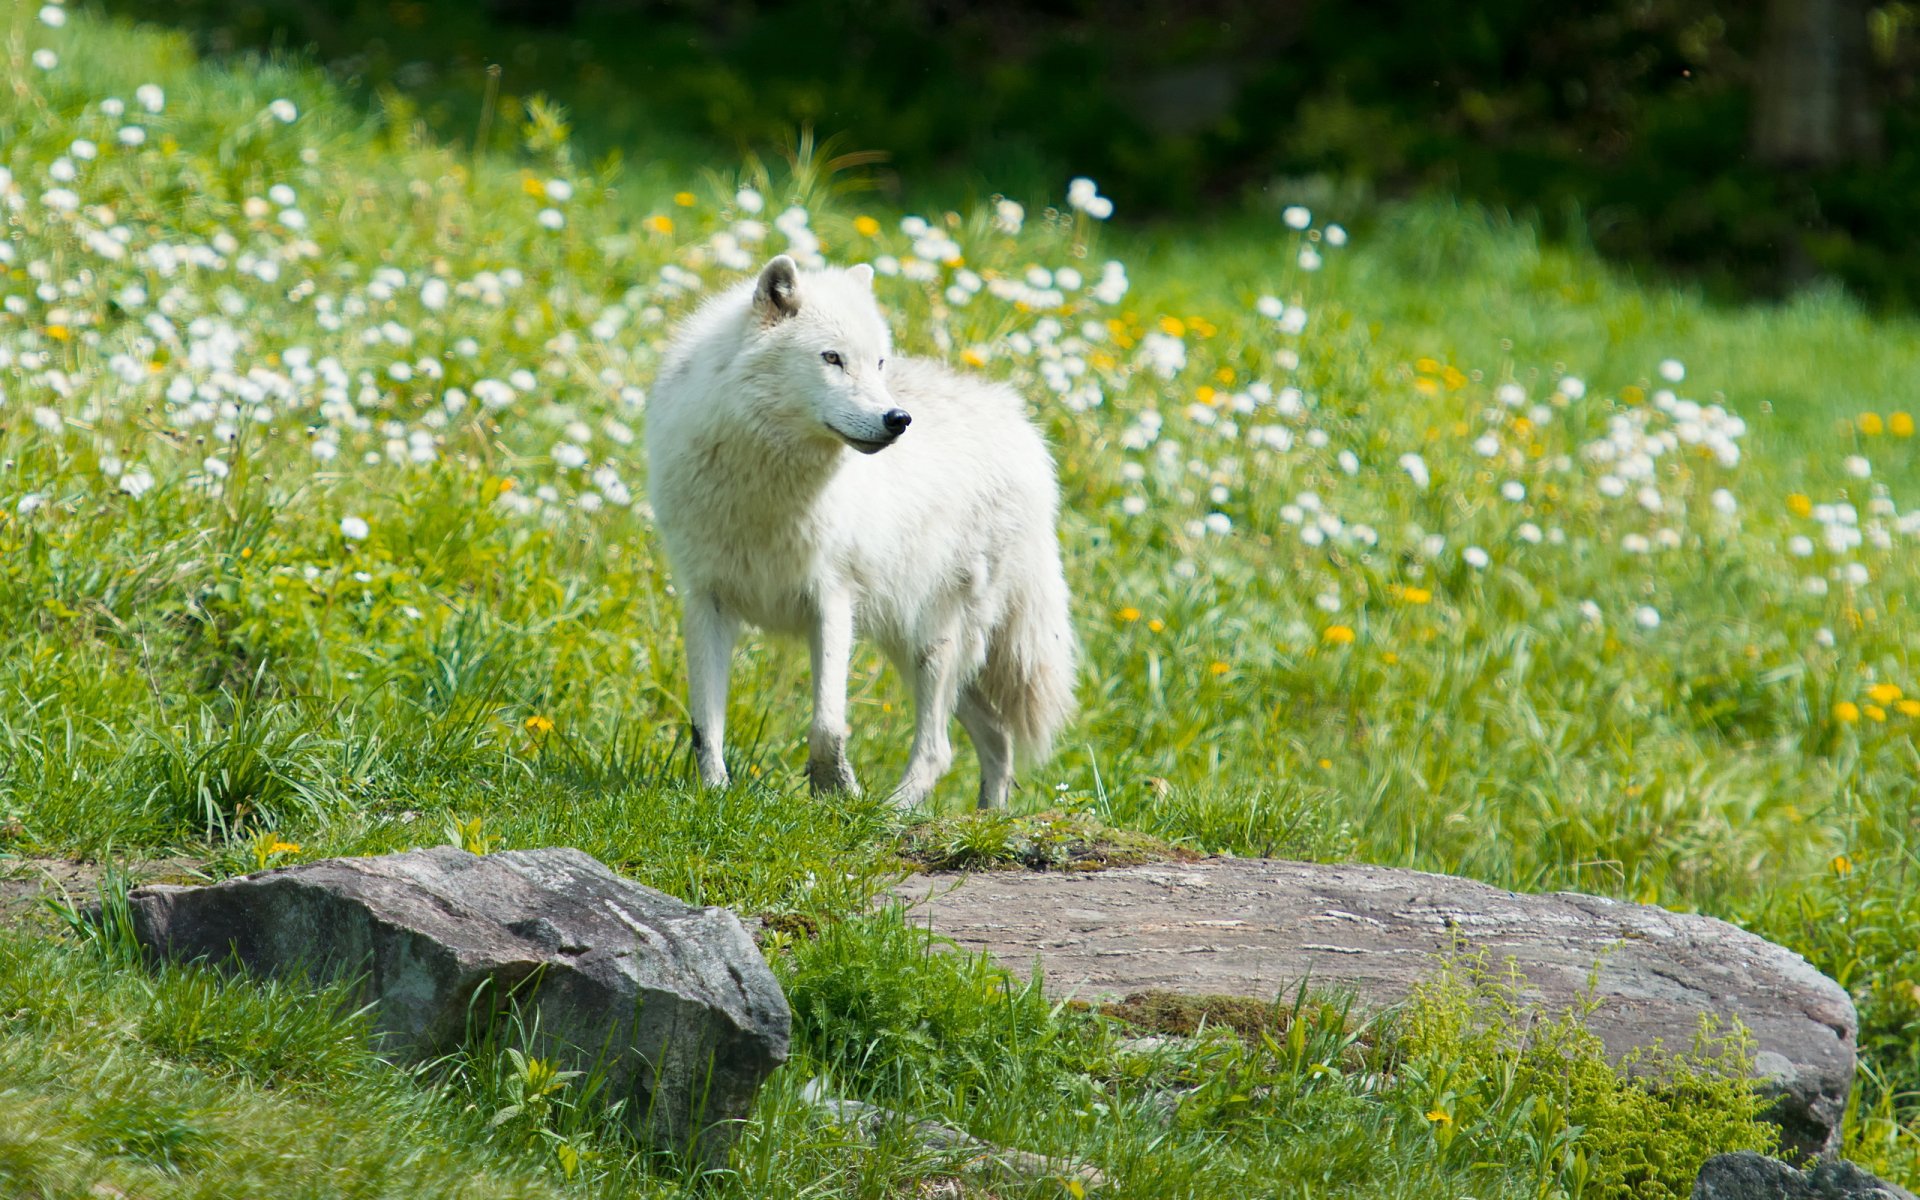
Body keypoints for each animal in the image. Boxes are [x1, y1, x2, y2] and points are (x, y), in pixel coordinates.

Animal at [646, 254, 1077, 810]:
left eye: (879, 363)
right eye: (832, 358)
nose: (899, 419)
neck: (764, 483)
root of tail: (1023, 429)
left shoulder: (831, 599)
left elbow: (827, 726)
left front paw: (837, 792)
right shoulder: (706, 601)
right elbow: (705, 727)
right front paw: (716, 796)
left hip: (934, 642)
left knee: (940, 748)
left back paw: (891, 814)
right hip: (912, 644)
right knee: (996, 738)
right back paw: (988, 819)